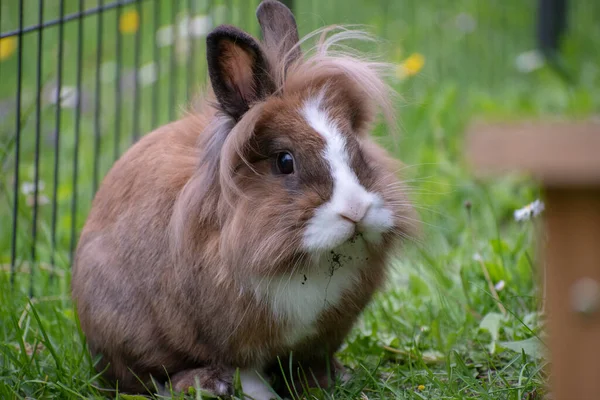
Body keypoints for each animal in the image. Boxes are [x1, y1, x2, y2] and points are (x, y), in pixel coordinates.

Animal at [70, 1, 418, 398]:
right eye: (285, 161)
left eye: (356, 146)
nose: (356, 211)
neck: (310, 263)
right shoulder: (233, 341)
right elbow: (246, 373)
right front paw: (262, 394)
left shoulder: (320, 339)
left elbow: (313, 362)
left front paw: (329, 381)